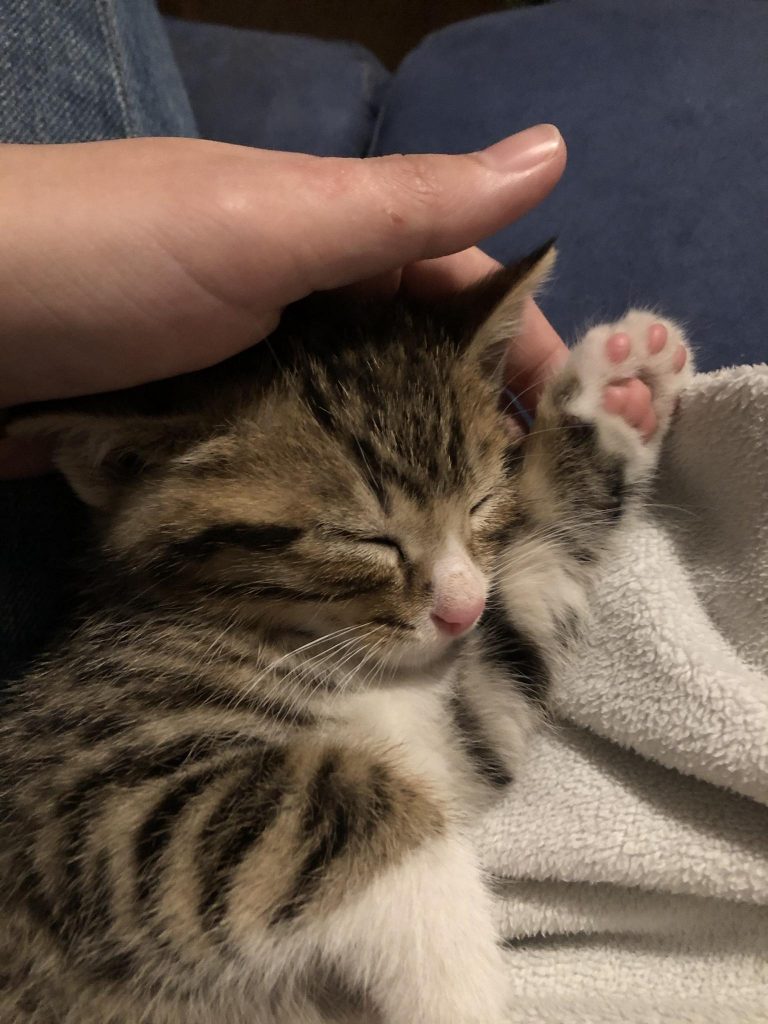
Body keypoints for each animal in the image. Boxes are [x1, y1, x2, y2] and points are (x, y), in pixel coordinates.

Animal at [0, 241, 692, 1024]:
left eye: (483, 502)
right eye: (366, 540)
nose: (461, 611)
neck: (310, 641)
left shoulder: (456, 735)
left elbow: (522, 605)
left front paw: (617, 399)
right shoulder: (97, 809)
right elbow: (352, 792)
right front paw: (462, 989)